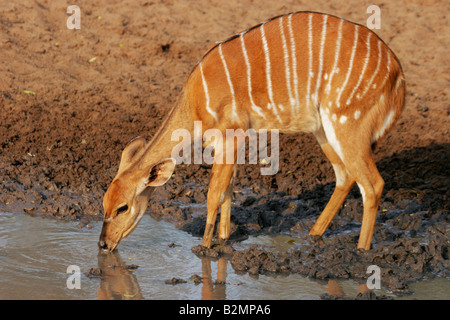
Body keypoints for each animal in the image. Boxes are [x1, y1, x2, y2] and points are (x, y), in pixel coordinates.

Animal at [97, 11, 404, 252]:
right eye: (103, 204)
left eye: (123, 207)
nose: (103, 244)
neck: (195, 102)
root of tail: (397, 73)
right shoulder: (231, 142)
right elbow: (229, 191)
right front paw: (223, 240)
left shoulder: (230, 135)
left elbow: (214, 193)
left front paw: (204, 248)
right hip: (323, 130)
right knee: (345, 176)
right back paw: (312, 236)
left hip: (347, 124)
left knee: (372, 184)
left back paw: (361, 252)